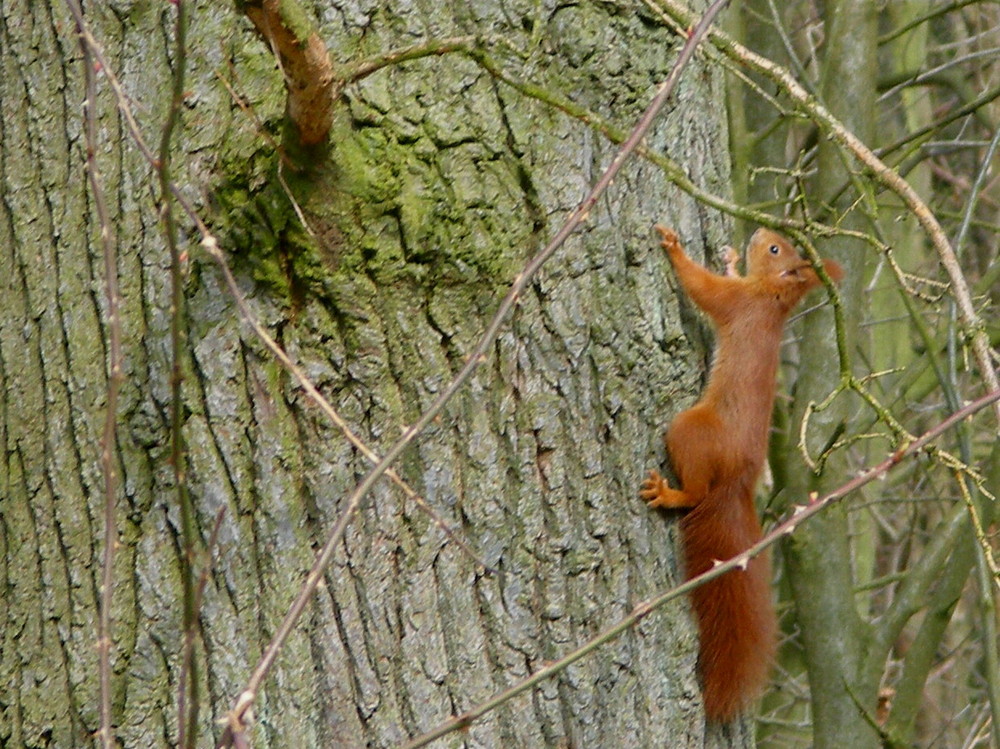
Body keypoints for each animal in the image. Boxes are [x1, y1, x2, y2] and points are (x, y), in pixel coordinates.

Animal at [640, 225, 844, 720]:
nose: (761, 231)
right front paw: (730, 259)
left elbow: (702, 288)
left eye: (773, 249)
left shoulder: (735, 302)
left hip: (690, 430)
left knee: (696, 492)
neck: (770, 297)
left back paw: (671, 494)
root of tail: (736, 484)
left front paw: (674, 247)